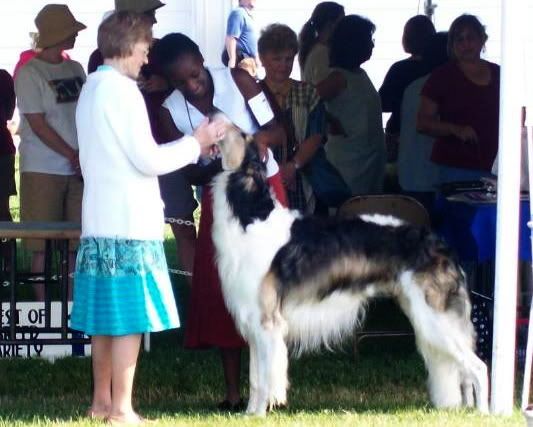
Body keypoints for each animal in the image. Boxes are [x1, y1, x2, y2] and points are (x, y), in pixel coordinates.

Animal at [210, 129, 488, 416]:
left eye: (239, 134)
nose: (214, 120)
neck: (251, 216)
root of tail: (441, 244)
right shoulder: (255, 324)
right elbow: (255, 380)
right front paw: (249, 414)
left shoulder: (268, 323)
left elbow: (266, 380)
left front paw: (260, 414)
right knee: (464, 373)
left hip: (436, 320)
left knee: (479, 368)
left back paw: (484, 412)